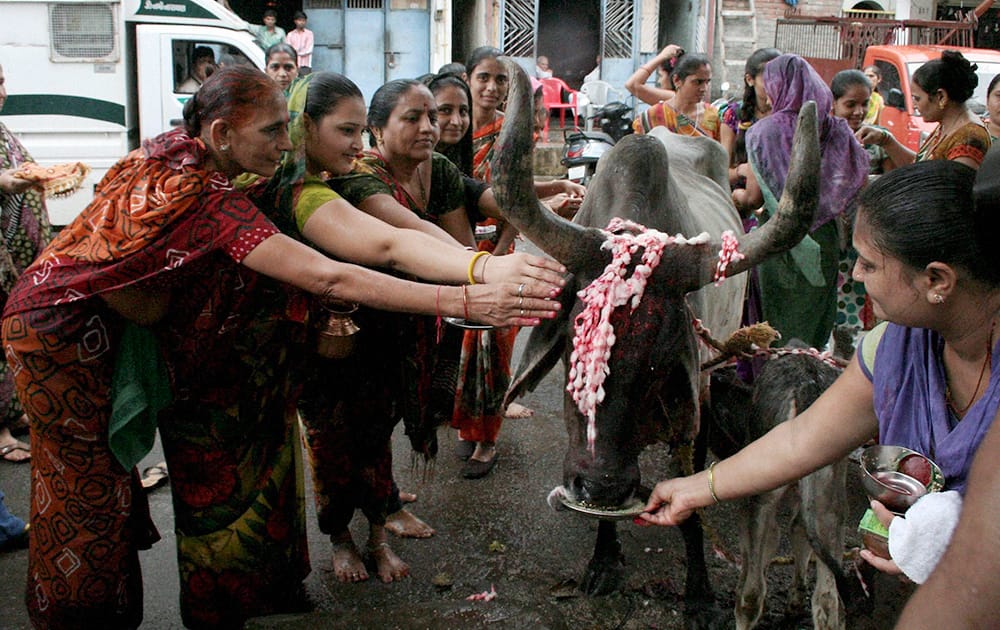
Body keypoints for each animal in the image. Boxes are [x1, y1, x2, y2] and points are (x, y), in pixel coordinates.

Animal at [492, 58, 820, 628]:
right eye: (575, 344)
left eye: (663, 359)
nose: (600, 486)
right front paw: (603, 561)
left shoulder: (695, 397)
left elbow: (689, 506)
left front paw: (700, 594)